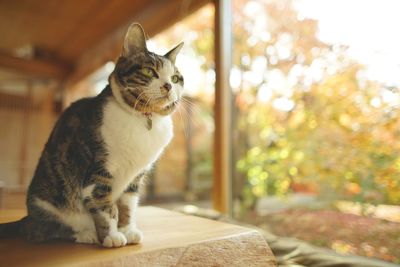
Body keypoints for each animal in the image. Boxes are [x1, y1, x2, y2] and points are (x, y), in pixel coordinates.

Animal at [0, 23, 184, 249]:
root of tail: (26, 218)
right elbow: (105, 207)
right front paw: (112, 236)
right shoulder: (98, 172)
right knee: (44, 230)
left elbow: (128, 206)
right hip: (47, 206)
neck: (143, 120)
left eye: (175, 78)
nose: (168, 86)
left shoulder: (135, 178)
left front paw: (127, 230)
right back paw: (87, 234)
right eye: (149, 71)